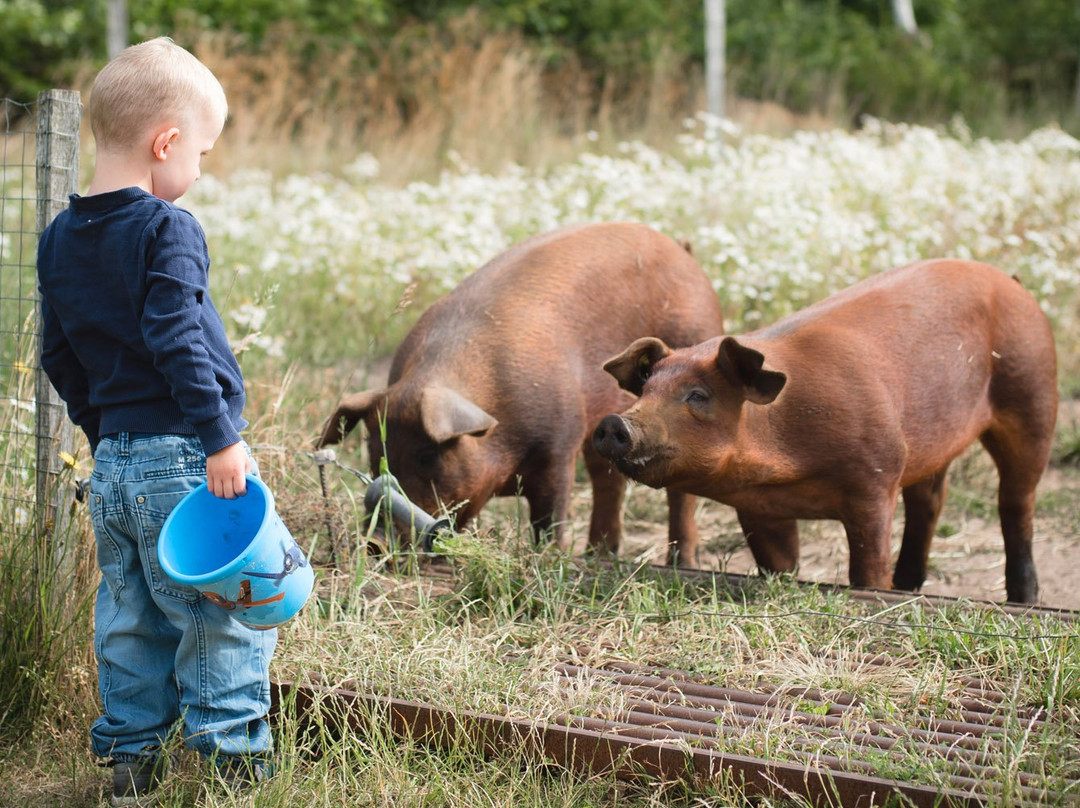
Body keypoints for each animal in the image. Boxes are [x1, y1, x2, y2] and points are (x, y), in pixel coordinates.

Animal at [315, 218, 730, 566]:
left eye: (429, 455)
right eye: (375, 454)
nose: (375, 542)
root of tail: (682, 251)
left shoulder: (559, 445)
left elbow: (549, 515)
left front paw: (550, 557)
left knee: (678, 492)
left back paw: (682, 563)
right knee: (607, 477)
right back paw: (598, 555)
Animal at [596, 259, 1058, 600]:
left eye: (698, 395)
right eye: (646, 389)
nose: (614, 422)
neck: (785, 469)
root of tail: (1012, 282)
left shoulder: (875, 478)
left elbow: (867, 567)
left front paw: (877, 593)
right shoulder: (758, 508)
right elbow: (779, 564)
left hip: (1033, 396)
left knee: (1016, 502)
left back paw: (1025, 598)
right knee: (929, 500)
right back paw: (908, 586)